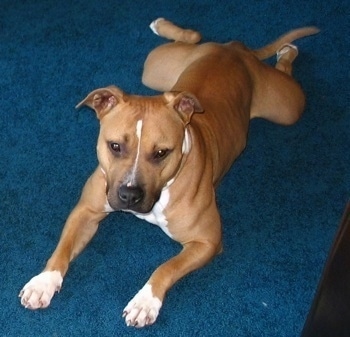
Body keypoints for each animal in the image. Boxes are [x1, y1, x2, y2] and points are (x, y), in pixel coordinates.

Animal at [19, 17, 320, 326]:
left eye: (161, 153)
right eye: (115, 146)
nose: (129, 195)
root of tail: (235, 50)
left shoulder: (206, 241)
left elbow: (166, 267)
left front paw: (145, 301)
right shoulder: (86, 211)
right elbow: (63, 248)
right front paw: (43, 282)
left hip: (287, 107)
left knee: (284, 70)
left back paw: (287, 51)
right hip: (156, 70)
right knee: (193, 37)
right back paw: (164, 26)